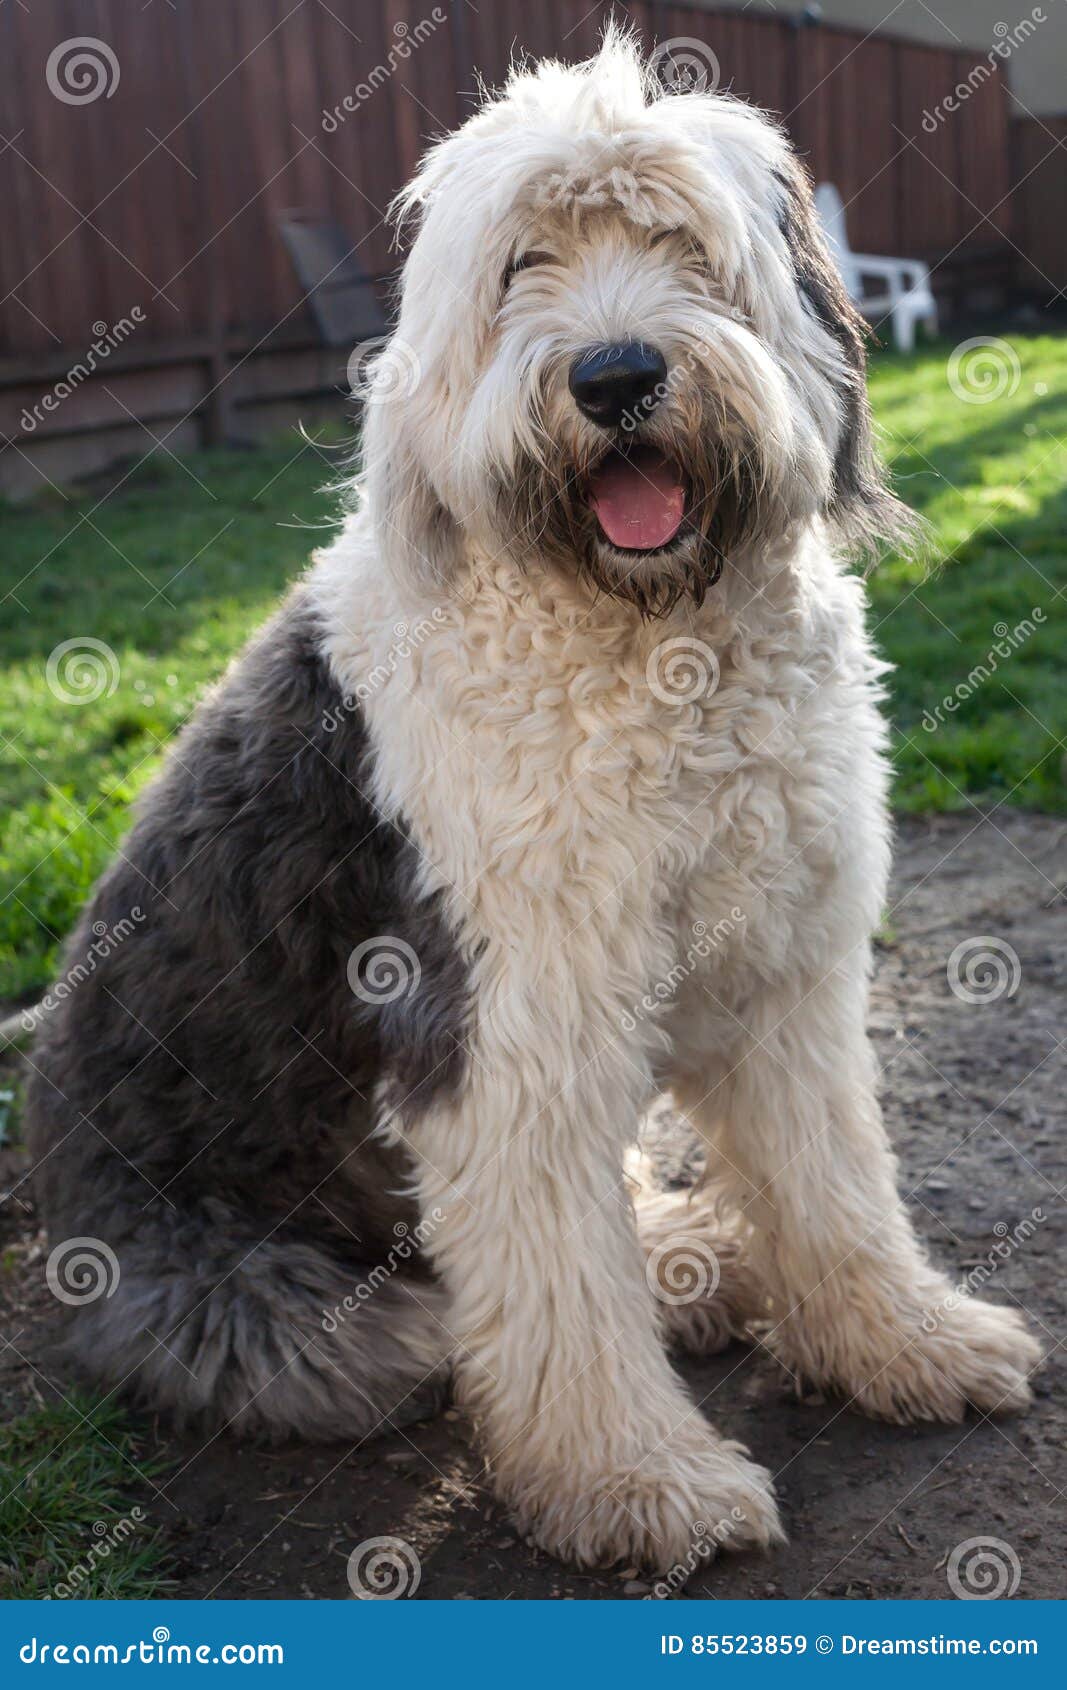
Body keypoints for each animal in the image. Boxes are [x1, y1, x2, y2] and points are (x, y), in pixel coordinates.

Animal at [27, 36, 1041, 1568]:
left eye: (684, 247)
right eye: (522, 266)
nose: (615, 376)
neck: (644, 640)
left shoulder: (784, 975)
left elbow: (833, 1184)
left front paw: (907, 1342)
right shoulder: (505, 1024)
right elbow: (558, 1283)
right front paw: (636, 1483)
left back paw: (688, 1256)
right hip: (264, 1298)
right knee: (390, 1330)